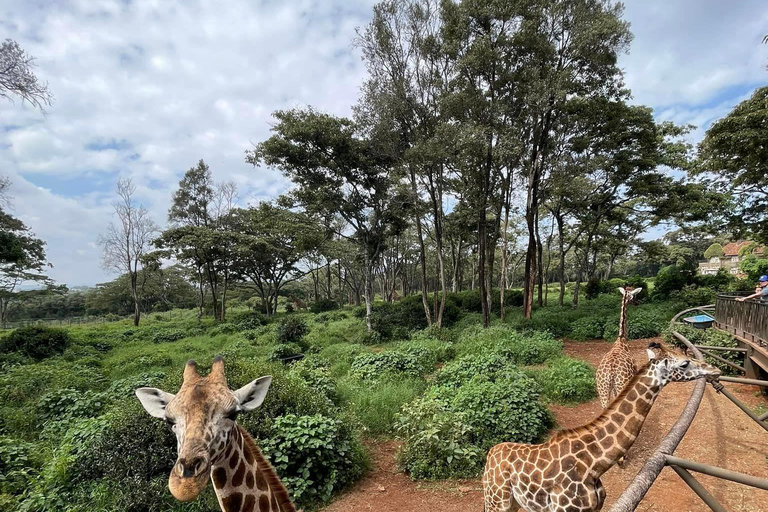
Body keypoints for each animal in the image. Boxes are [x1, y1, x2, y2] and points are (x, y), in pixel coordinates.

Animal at [484, 344, 716, 512]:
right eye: (685, 363)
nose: (714, 368)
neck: (594, 464)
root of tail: (490, 454)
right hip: (497, 501)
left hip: (514, 503)